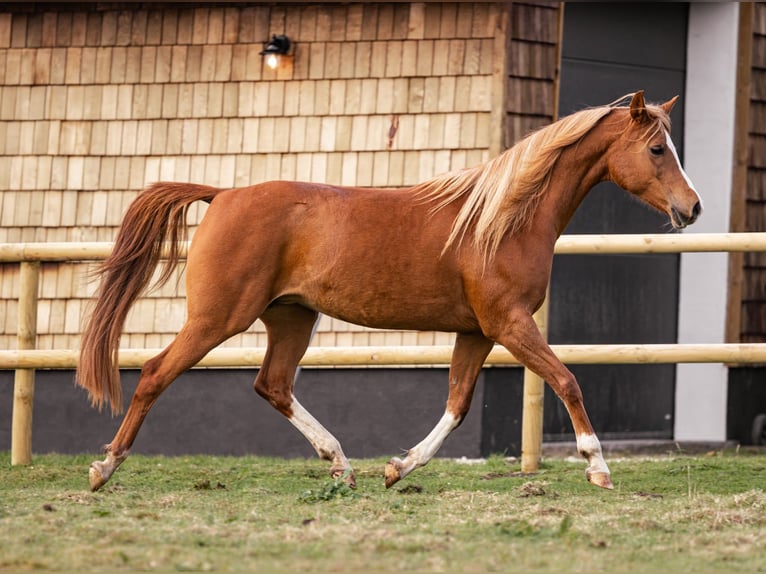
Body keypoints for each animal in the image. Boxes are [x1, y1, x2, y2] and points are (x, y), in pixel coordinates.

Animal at [77, 91, 701, 492]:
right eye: (656, 149)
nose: (692, 208)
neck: (502, 220)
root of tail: (222, 194)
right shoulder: (509, 323)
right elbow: (567, 380)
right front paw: (598, 467)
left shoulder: (477, 332)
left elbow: (457, 405)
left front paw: (398, 468)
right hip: (218, 317)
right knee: (155, 374)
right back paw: (104, 469)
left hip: (291, 317)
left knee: (272, 385)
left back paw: (341, 464)